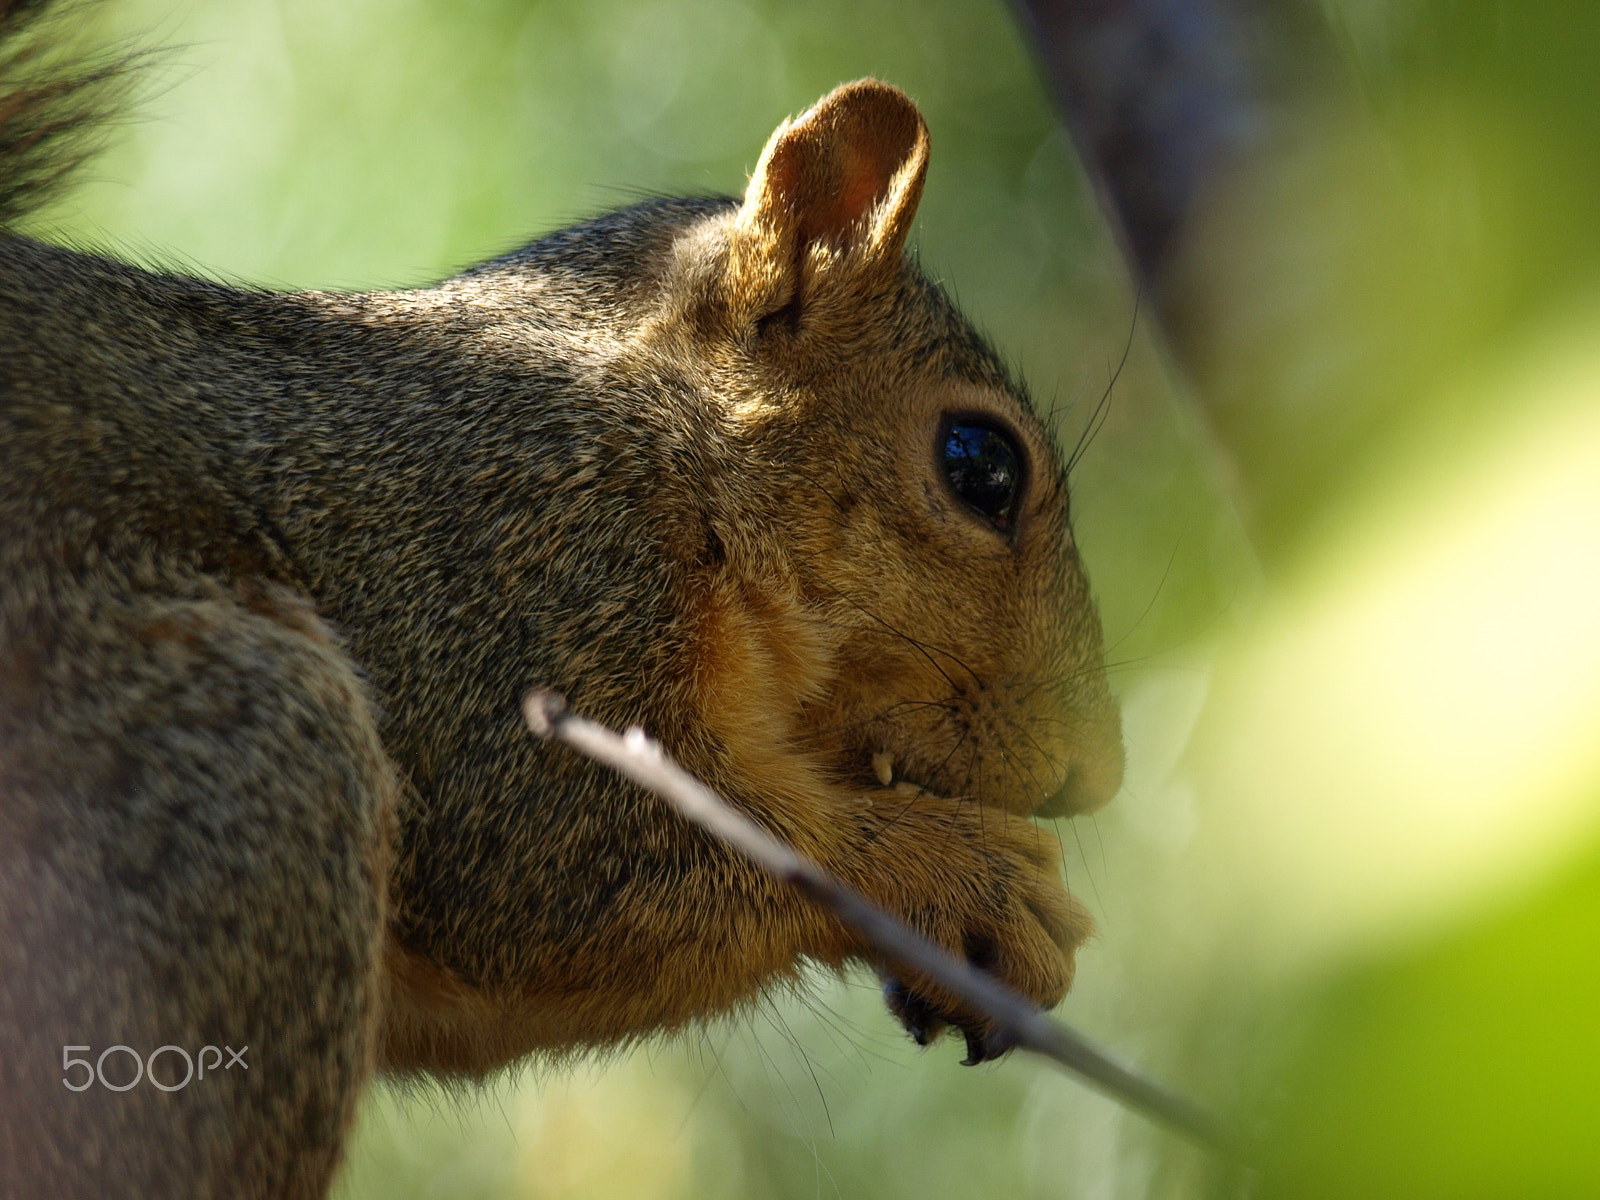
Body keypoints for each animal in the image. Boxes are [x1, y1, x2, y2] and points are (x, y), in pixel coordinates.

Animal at [0, 2, 1124, 1197]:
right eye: (981, 465)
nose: (1098, 773)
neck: (660, 447)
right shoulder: (492, 578)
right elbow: (557, 869)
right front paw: (966, 874)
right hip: (227, 774)